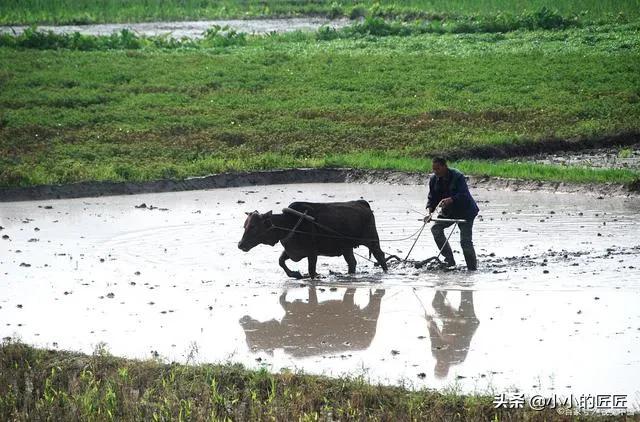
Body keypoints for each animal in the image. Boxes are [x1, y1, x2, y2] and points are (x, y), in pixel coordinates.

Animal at [238, 200, 388, 278]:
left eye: (253, 227)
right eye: (245, 226)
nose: (240, 244)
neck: (289, 223)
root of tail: (362, 203)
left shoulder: (312, 253)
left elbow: (311, 270)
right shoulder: (291, 250)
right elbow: (280, 261)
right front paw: (294, 273)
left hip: (372, 240)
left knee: (380, 256)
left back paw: (385, 271)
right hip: (347, 248)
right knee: (352, 262)